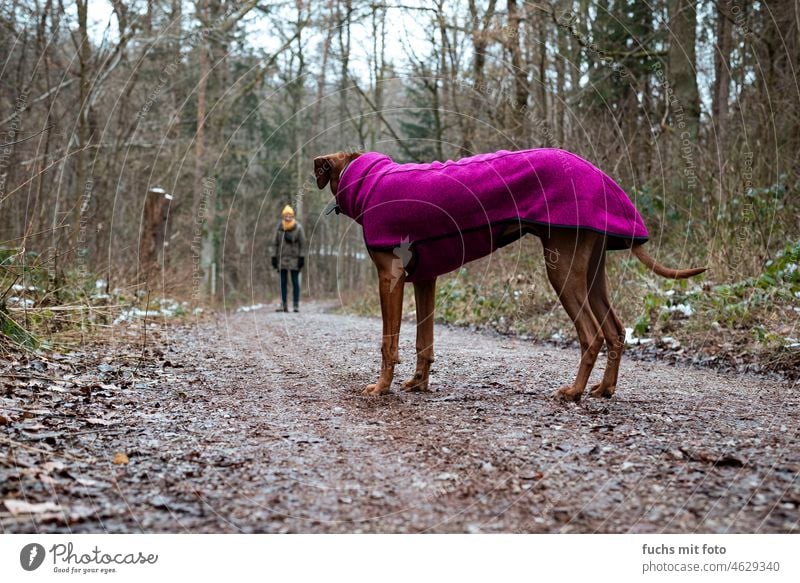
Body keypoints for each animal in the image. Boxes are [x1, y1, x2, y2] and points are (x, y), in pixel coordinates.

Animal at [314, 148, 708, 402]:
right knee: (615, 330)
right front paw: (417, 383)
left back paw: (574, 392)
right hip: (592, 270)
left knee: (592, 334)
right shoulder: (426, 279)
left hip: (561, 267)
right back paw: (604, 389)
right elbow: (424, 342)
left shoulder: (390, 277)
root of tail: (602, 178)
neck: (369, 180)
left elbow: (389, 342)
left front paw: (381, 388)